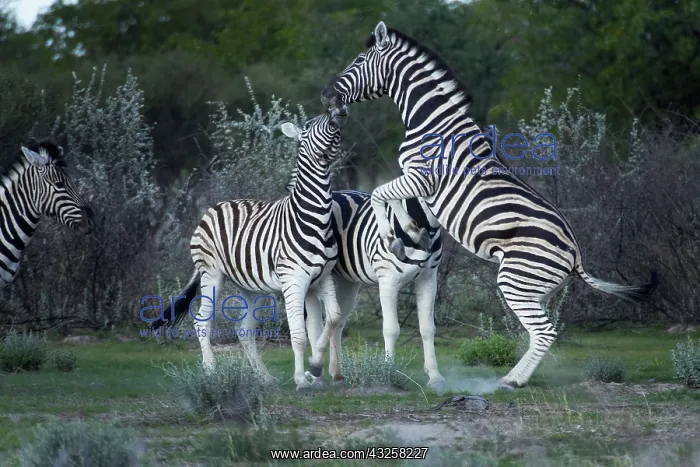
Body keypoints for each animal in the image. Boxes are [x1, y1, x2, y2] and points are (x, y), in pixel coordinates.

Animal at [151, 106, 349, 391]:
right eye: (310, 125)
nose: (338, 111)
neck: (315, 217)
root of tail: (214, 207)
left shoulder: (323, 277)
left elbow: (332, 318)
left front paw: (314, 365)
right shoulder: (294, 280)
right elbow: (299, 335)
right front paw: (301, 379)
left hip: (251, 287)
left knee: (244, 330)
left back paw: (264, 377)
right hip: (212, 274)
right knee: (202, 322)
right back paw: (210, 372)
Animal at [282, 168, 445, 392]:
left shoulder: (429, 278)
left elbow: (428, 329)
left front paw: (435, 377)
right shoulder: (388, 280)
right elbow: (391, 329)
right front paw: (388, 375)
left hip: (348, 282)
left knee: (337, 323)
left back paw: (337, 375)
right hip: (315, 278)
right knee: (315, 323)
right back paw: (318, 376)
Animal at [318, 21, 658, 390]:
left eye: (359, 60)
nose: (326, 95)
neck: (431, 122)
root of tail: (575, 252)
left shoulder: (422, 178)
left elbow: (381, 192)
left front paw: (398, 232)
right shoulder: (418, 184)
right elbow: (387, 196)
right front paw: (405, 232)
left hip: (516, 280)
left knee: (544, 332)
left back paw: (511, 380)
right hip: (535, 289)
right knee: (540, 332)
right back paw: (516, 376)